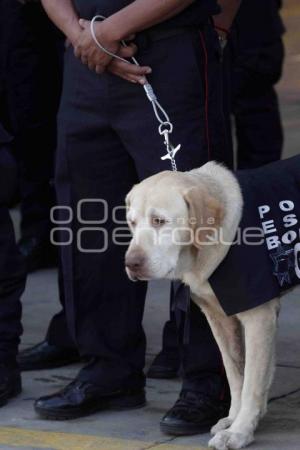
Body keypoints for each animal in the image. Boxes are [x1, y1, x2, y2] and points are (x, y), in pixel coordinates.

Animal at [123, 163, 290, 450]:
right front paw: (236, 419)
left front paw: (240, 432)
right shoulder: (218, 317)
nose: (130, 263)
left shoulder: (259, 316)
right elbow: (236, 374)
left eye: (159, 221)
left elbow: (252, 381)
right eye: (132, 223)